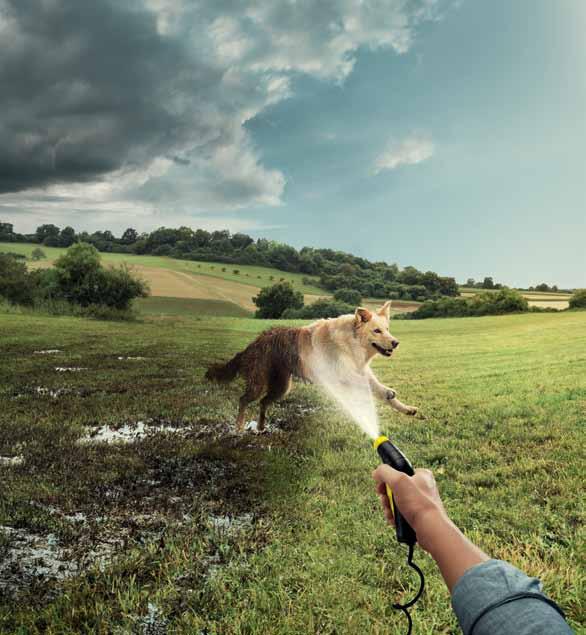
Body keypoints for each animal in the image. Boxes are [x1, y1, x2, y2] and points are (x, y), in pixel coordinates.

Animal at [204, 300, 416, 432]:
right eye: (376, 331)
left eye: (387, 329)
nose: (395, 342)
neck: (351, 341)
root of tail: (255, 342)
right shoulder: (341, 374)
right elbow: (365, 385)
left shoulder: (360, 370)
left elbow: (378, 389)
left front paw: (405, 407)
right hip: (259, 382)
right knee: (243, 400)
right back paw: (238, 429)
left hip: (282, 387)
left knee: (263, 402)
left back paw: (261, 428)